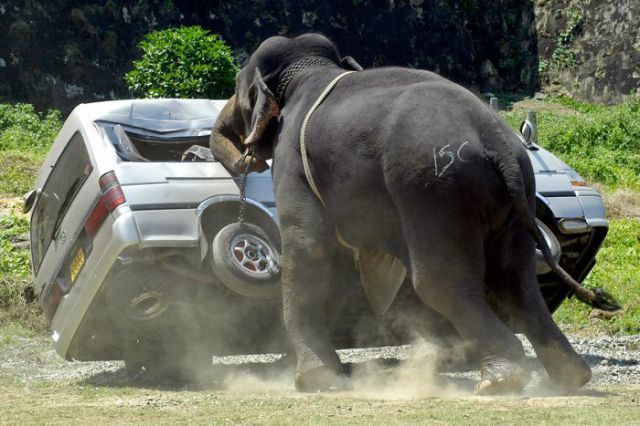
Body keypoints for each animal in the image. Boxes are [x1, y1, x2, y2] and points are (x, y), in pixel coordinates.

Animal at [209, 33, 600, 396]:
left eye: (238, 88)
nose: (247, 159)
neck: (312, 69)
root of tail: (498, 143)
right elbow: (340, 262)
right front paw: (325, 371)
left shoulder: (292, 161)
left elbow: (312, 247)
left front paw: (313, 379)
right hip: (516, 196)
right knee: (515, 276)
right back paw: (570, 377)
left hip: (433, 190)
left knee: (440, 281)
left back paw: (501, 381)